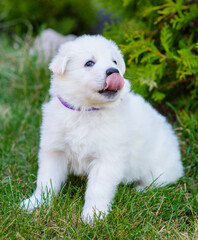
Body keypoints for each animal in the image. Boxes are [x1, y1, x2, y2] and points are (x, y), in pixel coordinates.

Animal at [20, 34, 183, 222]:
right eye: (89, 63)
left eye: (115, 61)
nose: (114, 71)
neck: (86, 110)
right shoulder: (54, 150)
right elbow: (47, 181)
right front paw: (36, 203)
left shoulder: (107, 158)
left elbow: (97, 189)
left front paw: (93, 216)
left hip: (158, 169)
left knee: (158, 182)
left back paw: (141, 189)